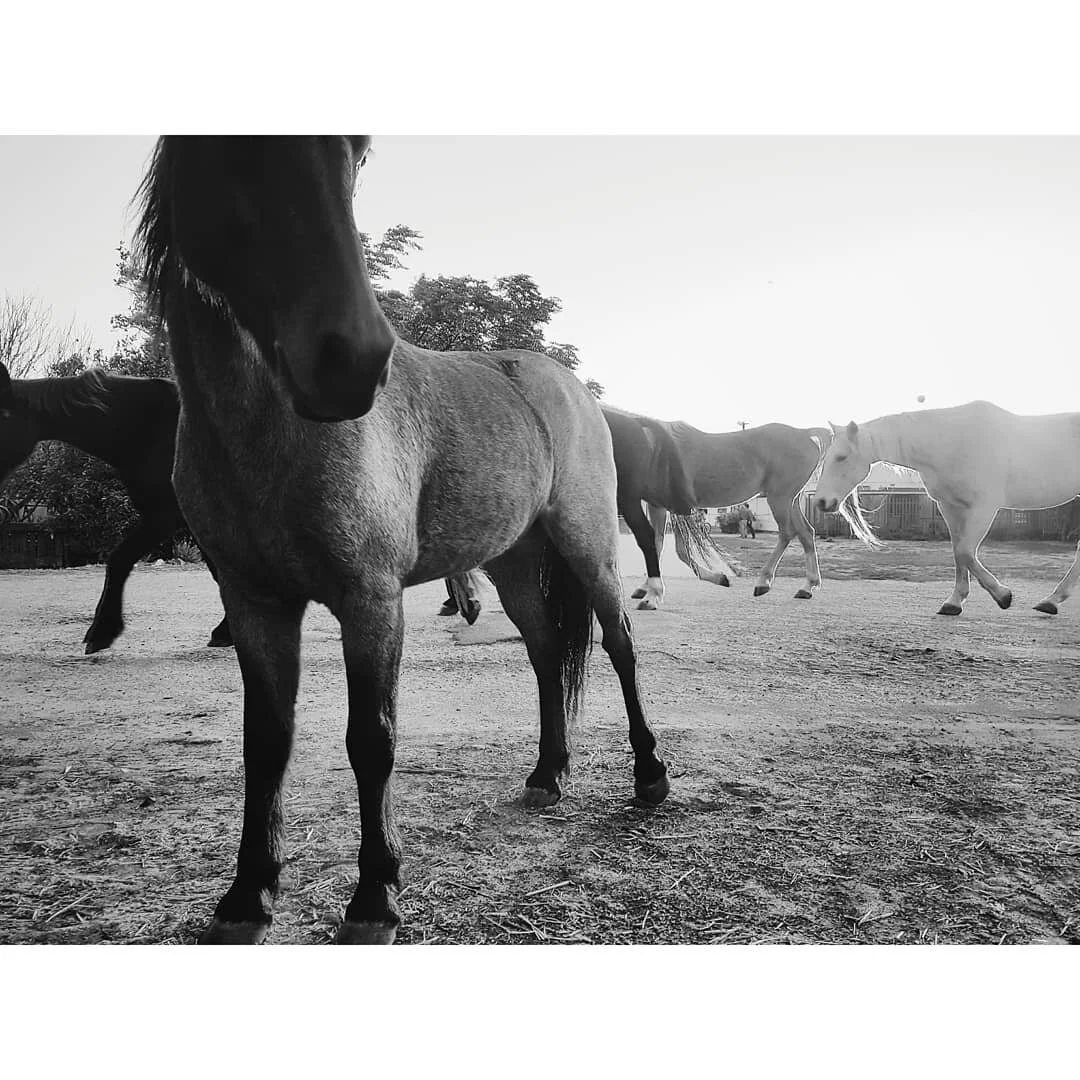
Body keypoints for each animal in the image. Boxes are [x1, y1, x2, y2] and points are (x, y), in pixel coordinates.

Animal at [136, 135, 669, 945]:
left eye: (356, 153)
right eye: (227, 151)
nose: (349, 359)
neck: (266, 437)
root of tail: (566, 384)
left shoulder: (370, 600)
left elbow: (372, 739)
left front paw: (376, 895)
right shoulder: (254, 603)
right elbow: (267, 742)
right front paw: (248, 895)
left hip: (585, 546)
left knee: (619, 645)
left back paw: (650, 776)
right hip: (513, 565)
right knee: (546, 653)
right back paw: (548, 773)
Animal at [601, 405, 845, 609]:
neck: (651, 443)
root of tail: (805, 434)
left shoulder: (674, 507)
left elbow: (677, 549)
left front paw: (654, 595)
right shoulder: (657, 505)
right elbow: (657, 543)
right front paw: (646, 589)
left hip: (780, 498)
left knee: (787, 532)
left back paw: (763, 582)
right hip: (791, 500)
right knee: (806, 532)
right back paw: (808, 586)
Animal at [814, 401, 1080, 616]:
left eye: (842, 457)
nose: (821, 502)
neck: (952, 441)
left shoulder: (983, 508)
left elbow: (965, 552)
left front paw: (1003, 596)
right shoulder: (950, 507)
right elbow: (958, 552)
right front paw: (954, 602)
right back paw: (1051, 601)